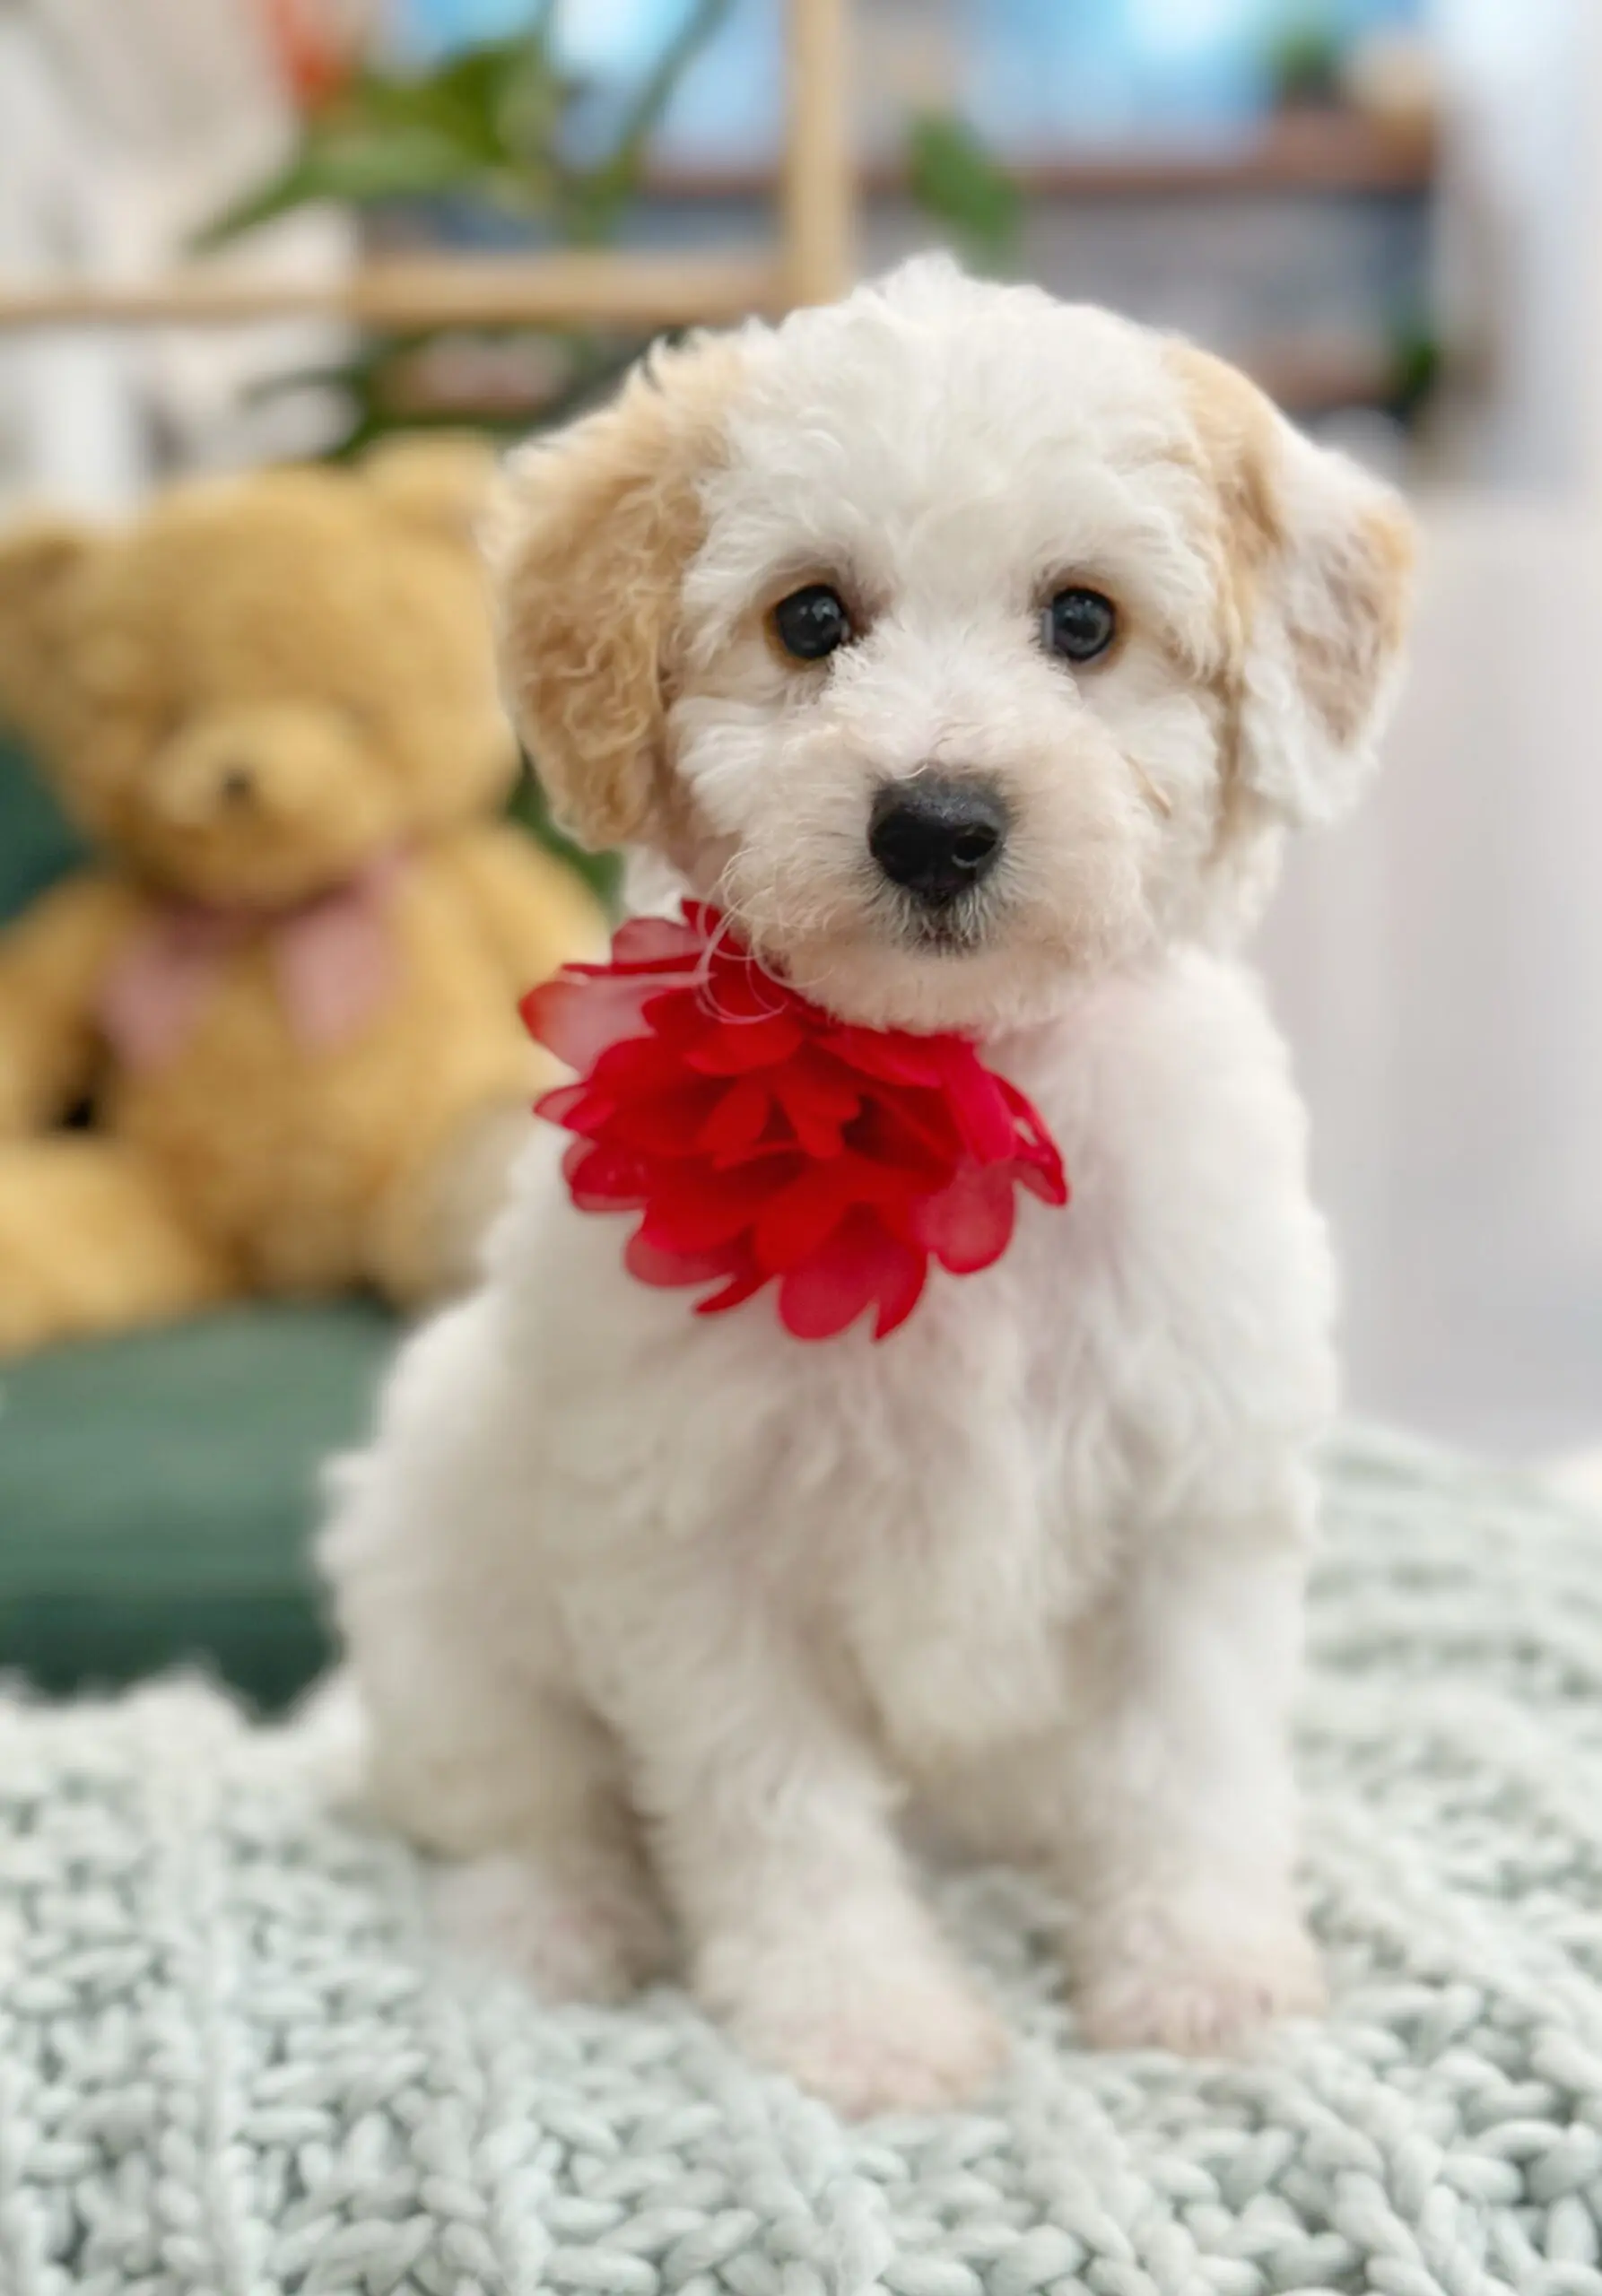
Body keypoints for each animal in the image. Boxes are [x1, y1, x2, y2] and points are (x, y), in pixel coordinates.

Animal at [323, 256, 1414, 2112]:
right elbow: (776, 1809)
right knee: (510, 1801)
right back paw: (558, 1920)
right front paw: (863, 2023)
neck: (950, 1097)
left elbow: (1188, 1759)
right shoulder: (696, 1542)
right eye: (811, 620)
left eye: (1083, 624)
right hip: (443, 1580)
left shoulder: (1194, 1495)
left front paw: (1198, 1972)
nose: (938, 822)